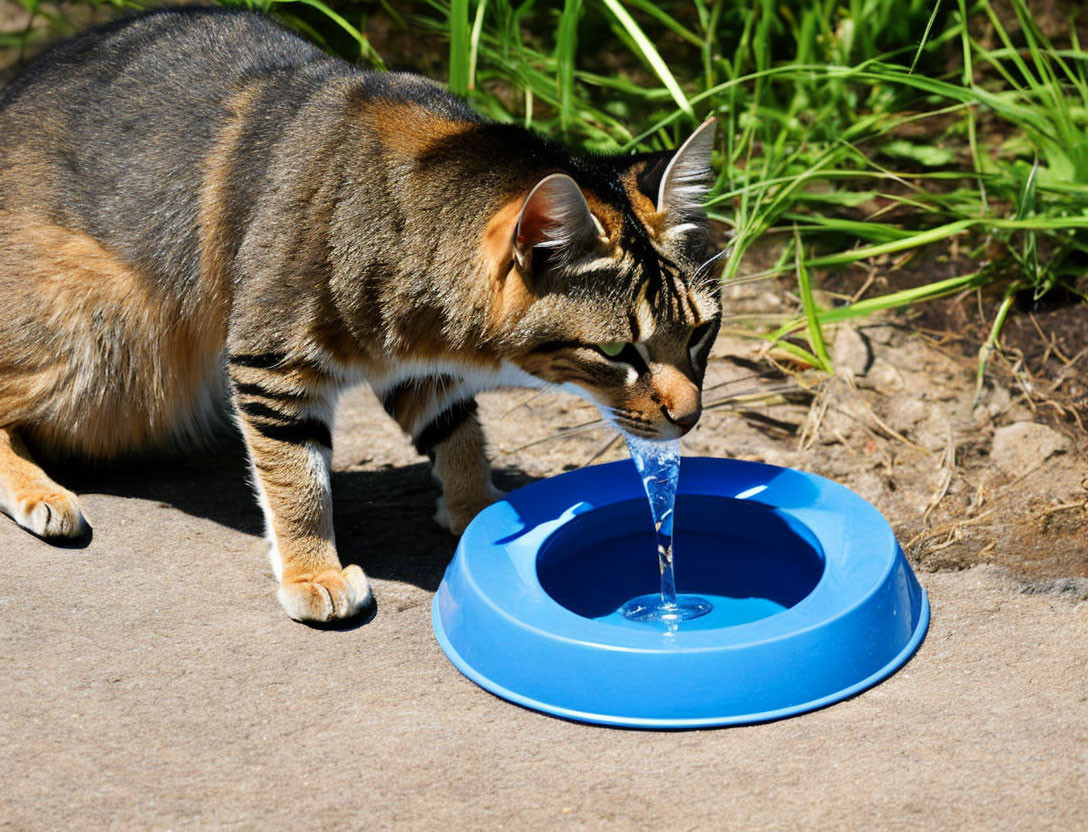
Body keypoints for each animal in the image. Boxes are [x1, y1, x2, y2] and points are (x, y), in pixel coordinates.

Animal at [0, 4, 722, 617]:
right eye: (617, 352)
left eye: (702, 334)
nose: (690, 418)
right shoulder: (269, 363)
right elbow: (298, 479)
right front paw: (312, 571)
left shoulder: (416, 364)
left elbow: (459, 432)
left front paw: (477, 507)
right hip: (107, 341)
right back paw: (39, 491)